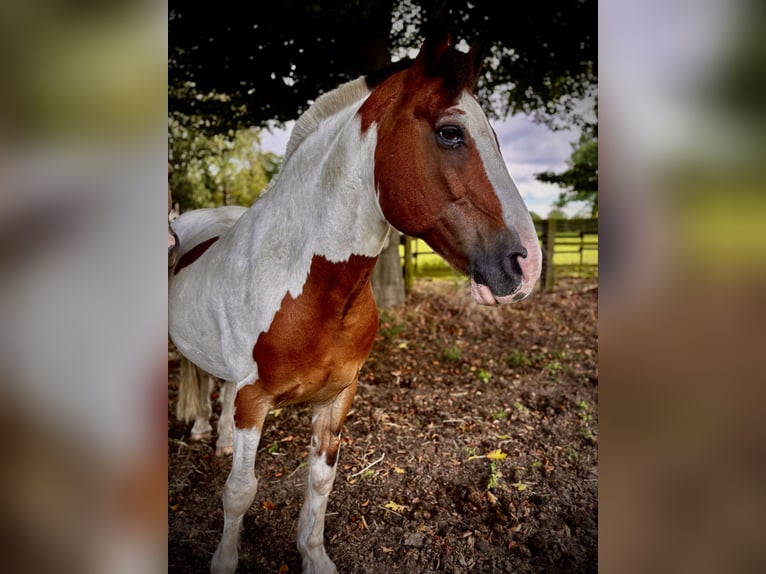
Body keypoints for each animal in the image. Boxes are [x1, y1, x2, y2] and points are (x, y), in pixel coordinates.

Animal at [169, 30, 542, 574]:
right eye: (451, 133)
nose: (526, 264)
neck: (309, 286)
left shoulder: (338, 396)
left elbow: (320, 481)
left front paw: (314, 556)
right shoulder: (254, 402)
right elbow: (240, 491)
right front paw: (224, 560)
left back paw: (215, 437)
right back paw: (198, 430)